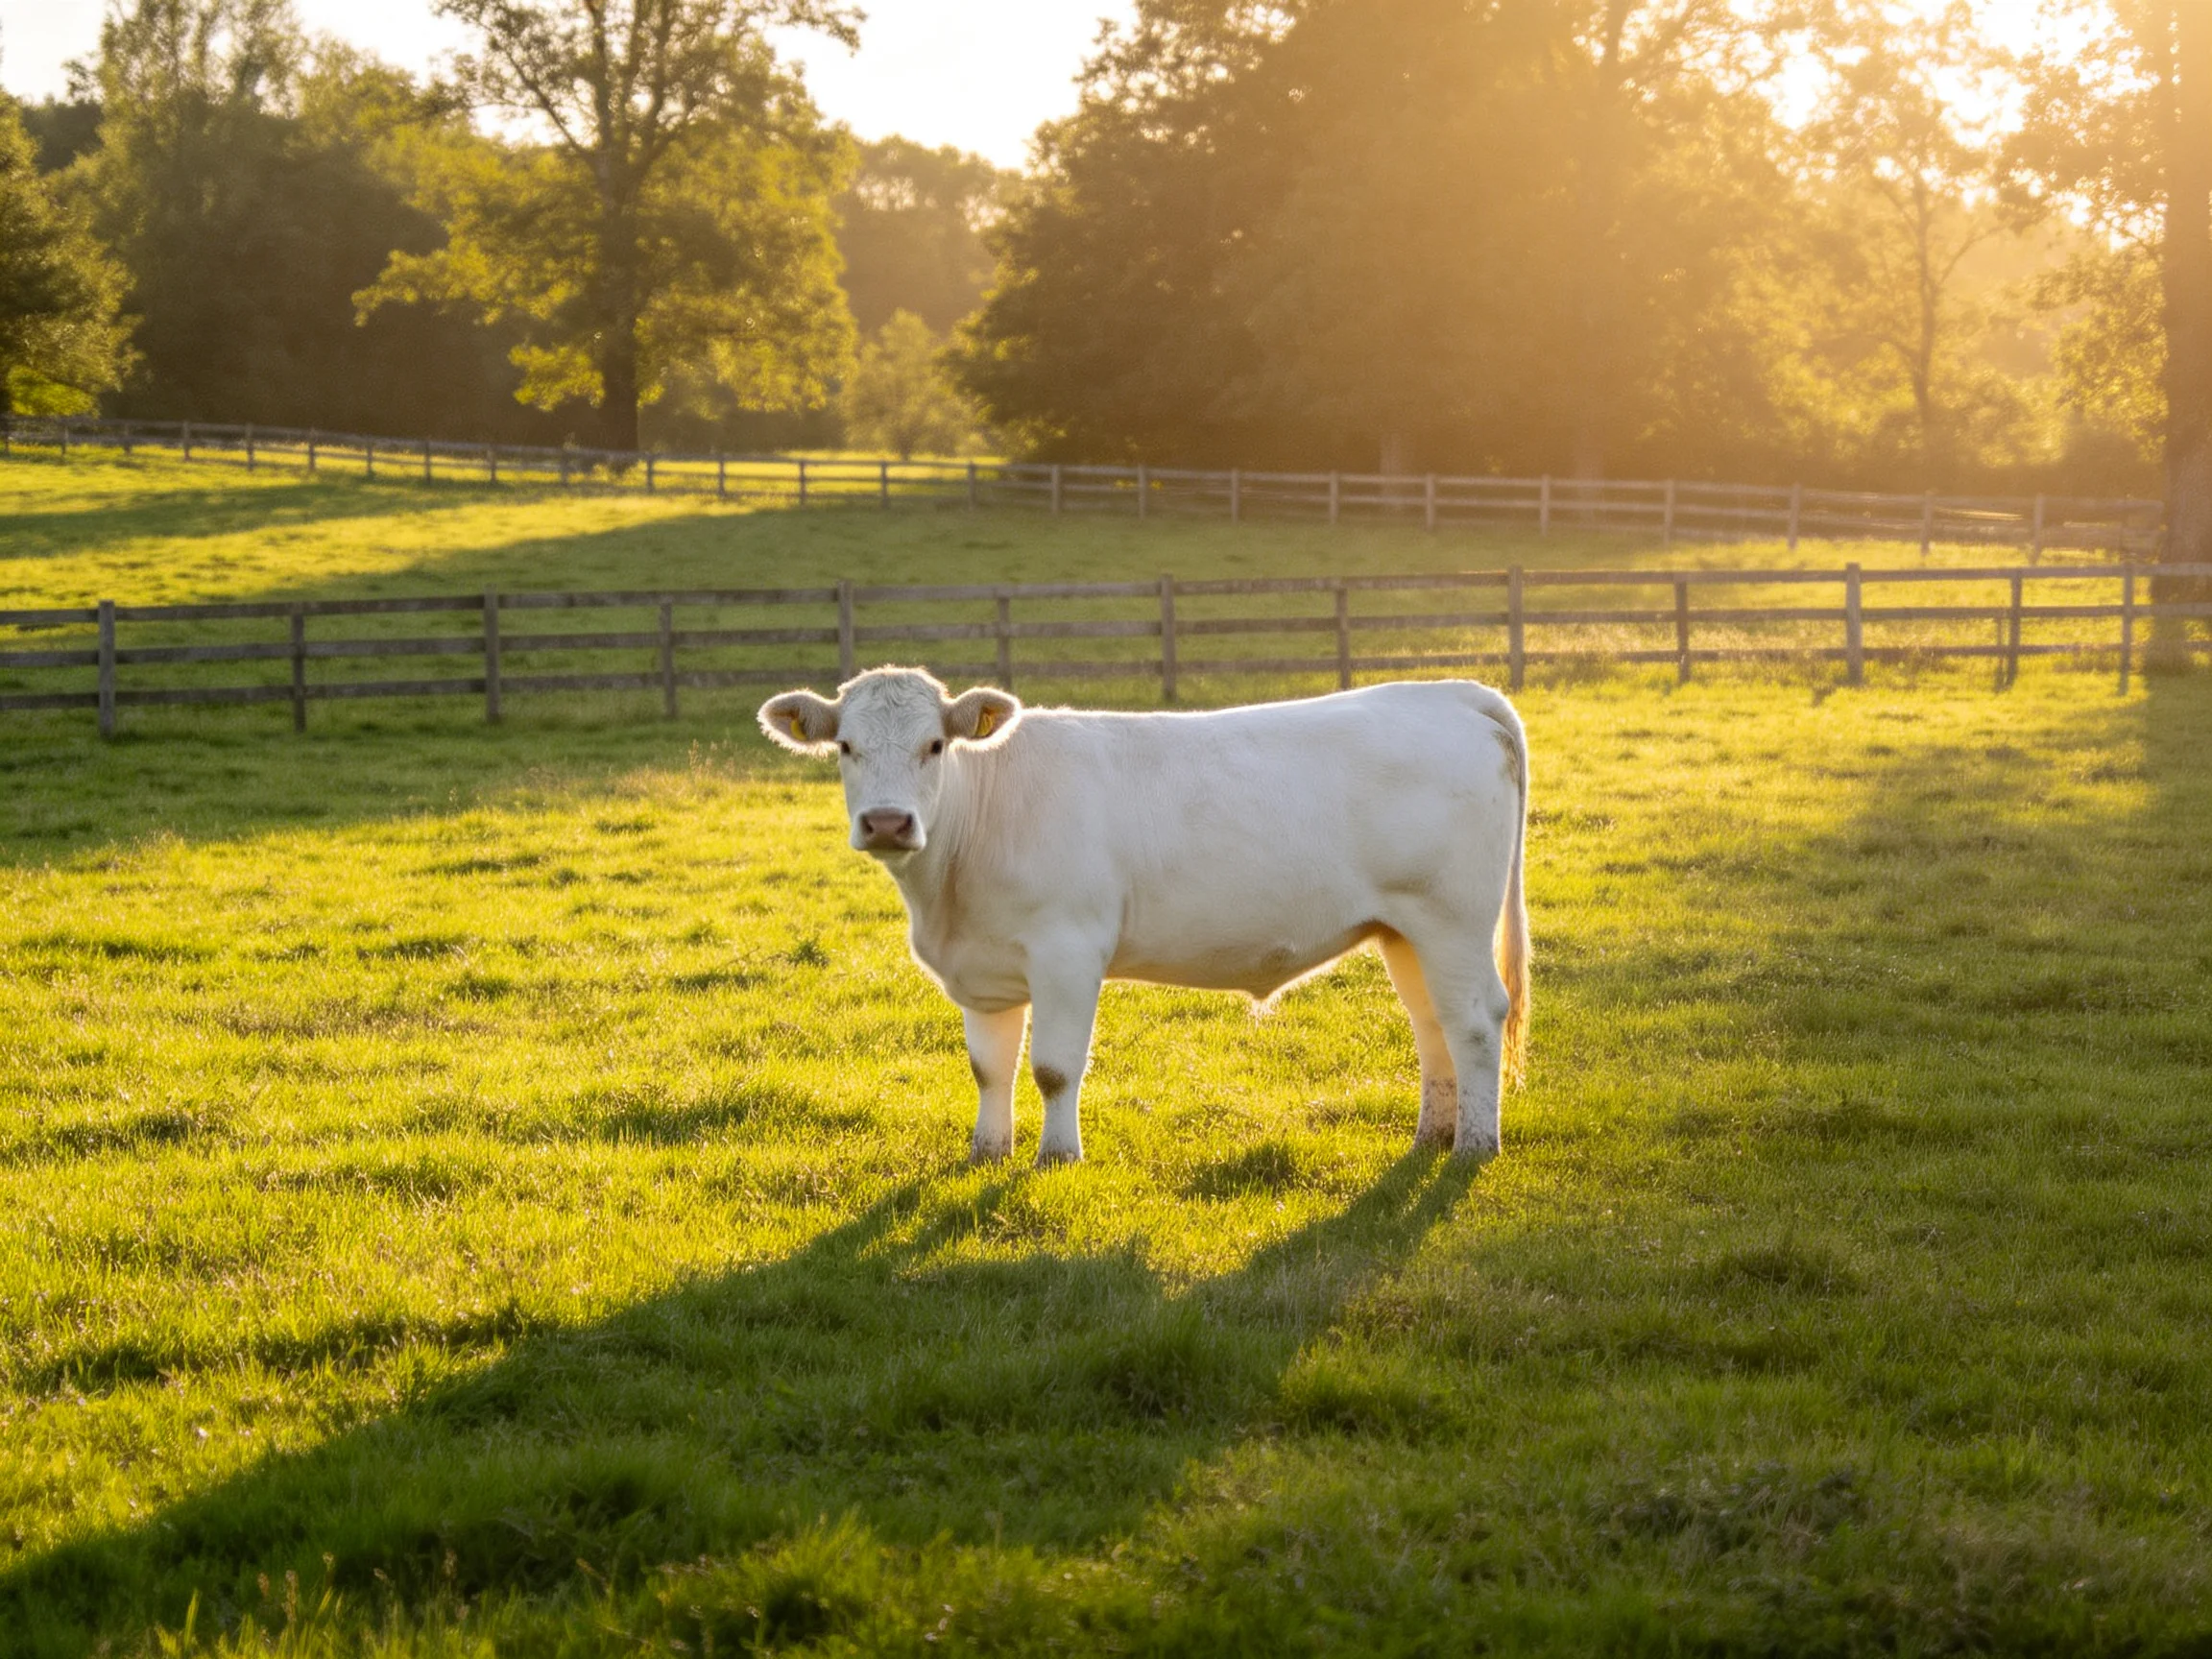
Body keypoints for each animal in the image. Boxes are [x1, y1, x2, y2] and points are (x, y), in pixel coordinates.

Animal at [758, 668, 1529, 1166]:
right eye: (846, 747)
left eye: (935, 746)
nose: (888, 823)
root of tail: (1453, 693)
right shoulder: (984, 970)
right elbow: (988, 1067)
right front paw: (986, 1152)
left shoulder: (1068, 950)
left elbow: (1054, 1068)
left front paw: (1057, 1157)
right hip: (1406, 930)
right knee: (1431, 1023)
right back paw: (1432, 1137)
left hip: (1452, 918)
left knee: (1473, 1019)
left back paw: (1473, 1148)